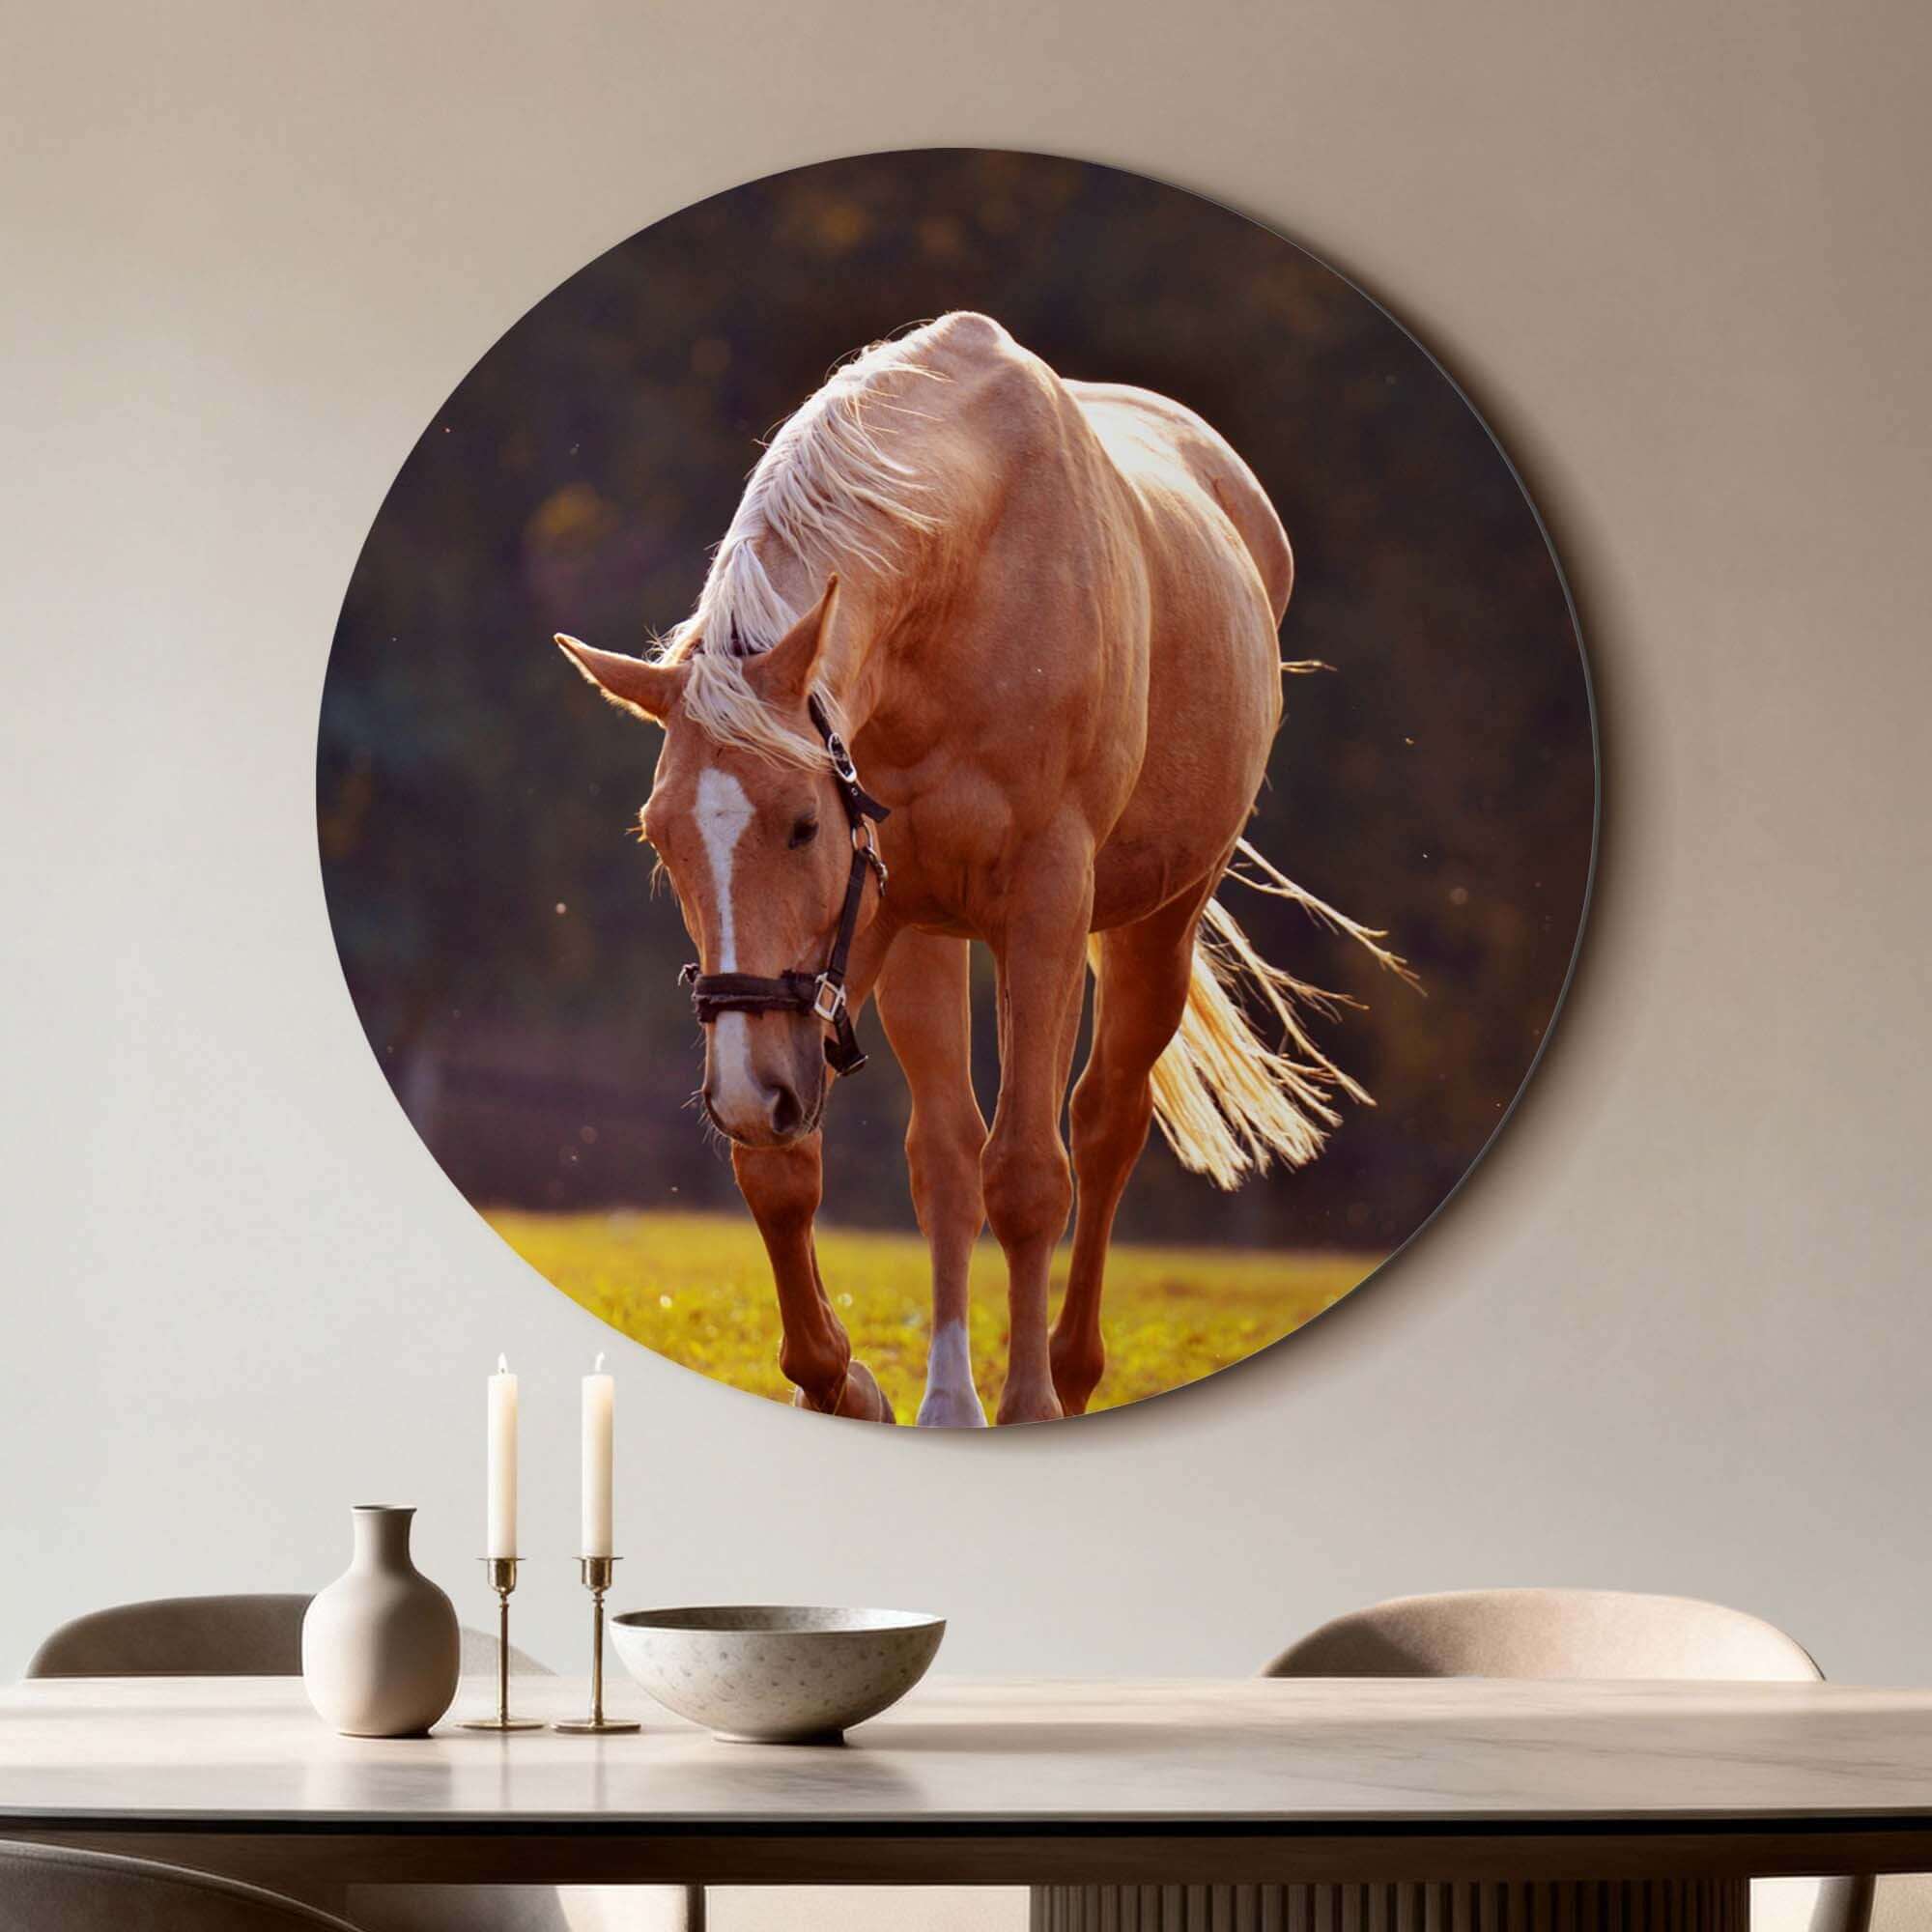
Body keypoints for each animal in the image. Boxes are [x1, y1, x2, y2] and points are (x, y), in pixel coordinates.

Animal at [555, 311, 1408, 1426]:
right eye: (661, 838)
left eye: (800, 826)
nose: (744, 1088)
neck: (963, 583)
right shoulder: (863, 929)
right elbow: (789, 1170)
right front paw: (843, 1381)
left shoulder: (1043, 909)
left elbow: (1030, 1174)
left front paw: (1030, 1402)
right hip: (927, 940)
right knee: (946, 1156)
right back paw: (950, 1403)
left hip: (1158, 925)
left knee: (1103, 1126)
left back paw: (1068, 1375)